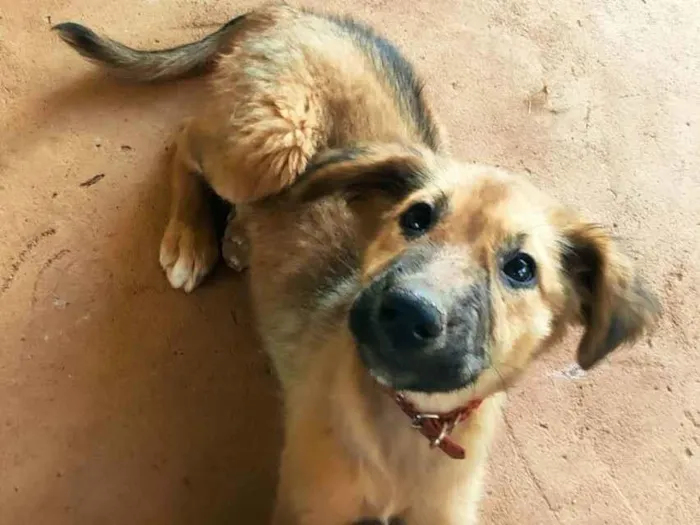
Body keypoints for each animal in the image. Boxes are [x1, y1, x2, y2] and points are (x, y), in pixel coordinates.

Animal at [56, 2, 660, 520]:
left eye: (521, 268)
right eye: (415, 218)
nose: (407, 312)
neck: (413, 422)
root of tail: (295, 11)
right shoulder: (307, 509)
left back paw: (240, 237)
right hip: (274, 139)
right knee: (185, 141)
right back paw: (192, 239)